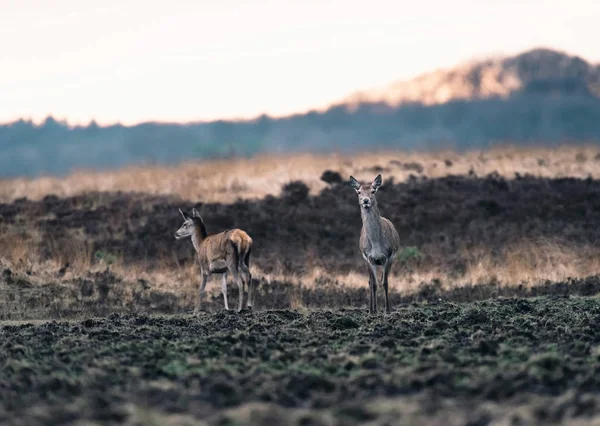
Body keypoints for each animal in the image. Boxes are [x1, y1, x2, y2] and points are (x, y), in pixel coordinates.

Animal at [350, 173, 400, 312]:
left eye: (373, 191)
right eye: (359, 192)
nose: (365, 200)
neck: (376, 244)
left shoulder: (388, 256)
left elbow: (385, 282)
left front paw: (387, 310)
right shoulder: (368, 257)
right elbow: (374, 284)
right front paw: (374, 311)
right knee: (369, 281)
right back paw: (371, 308)